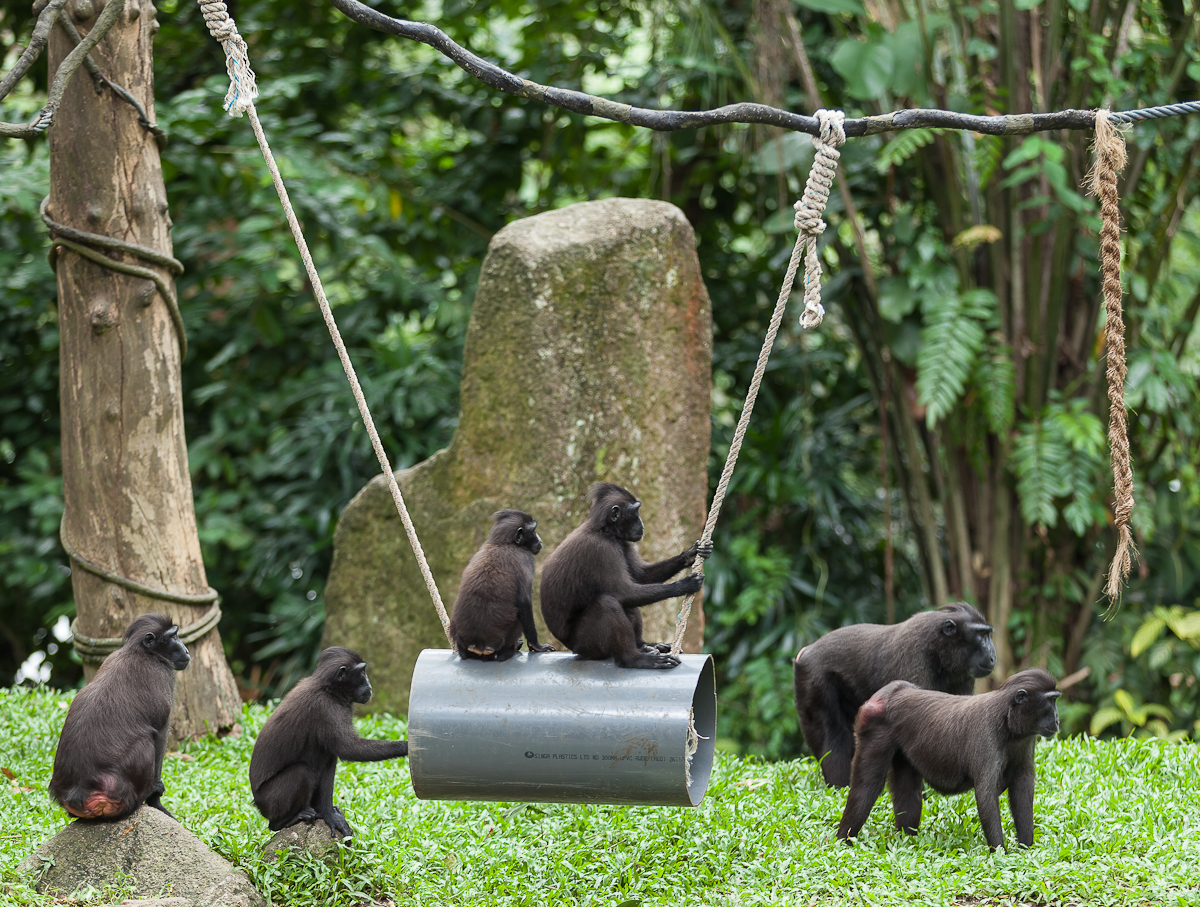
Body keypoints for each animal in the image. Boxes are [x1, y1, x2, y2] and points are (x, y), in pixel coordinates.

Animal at [49, 611, 192, 820]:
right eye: (173, 637)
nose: (187, 651)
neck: (142, 651)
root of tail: (79, 793)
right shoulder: (162, 673)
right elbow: (160, 733)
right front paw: (156, 799)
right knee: (145, 741)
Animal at [248, 647, 408, 839]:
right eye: (362, 672)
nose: (370, 685)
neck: (329, 689)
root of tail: (257, 803)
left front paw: (329, 815)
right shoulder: (327, 709)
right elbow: (351, 749)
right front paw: (408, 746)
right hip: (271, 801)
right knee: (301, 772)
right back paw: (284, 821)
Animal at [448, 511, 554, 657]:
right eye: (533, 530)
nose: (540, 539)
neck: (503, 543)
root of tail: (479, 644)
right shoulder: (525, 558)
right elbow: (524, 601)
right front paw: (536, 645)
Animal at [796, 602, 993, 787]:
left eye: (988, 634)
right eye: (982, 635)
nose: (992, 655)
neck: (938, 648)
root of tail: (806, 651)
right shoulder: (914, 658)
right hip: (813, 679)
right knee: (832, 735)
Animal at [835, 667, 1060, 849]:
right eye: (1051, 700)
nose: (1057, 719)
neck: (1007, 719)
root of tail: (893, 691)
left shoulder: (1026, 740)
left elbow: (1022, 787)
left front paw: (1026, 850)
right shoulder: (986, 735)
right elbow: (986, 795)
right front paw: (1000, 854)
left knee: (908, 790)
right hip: (873, 724)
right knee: (867, 787)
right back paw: (843, 840)